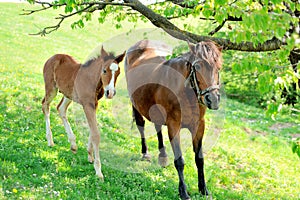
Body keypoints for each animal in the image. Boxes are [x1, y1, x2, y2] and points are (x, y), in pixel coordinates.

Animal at [41, 46, 125, 178]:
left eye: (118, 72)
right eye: (104, 71)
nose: (110, 93)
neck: (93, 81)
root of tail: (52, 57)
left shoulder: (95, 105)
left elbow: (92, 130)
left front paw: (90, 155)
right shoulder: (87, 105)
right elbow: (96, 134)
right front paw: (98, 171)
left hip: (68, 94)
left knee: (60, 108)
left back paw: (73, 144)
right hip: (51, 88)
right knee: (45, 105)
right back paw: (50, 140)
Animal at [123, 39, 221, 199]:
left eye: (219, 68)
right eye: (198, 66)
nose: (212, 99)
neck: (186, 92)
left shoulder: (199, 125)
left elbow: (199, 159)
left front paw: (203, 190)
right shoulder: (174, 126)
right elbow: (179, 161)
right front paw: (183, 192)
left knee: (157, 127)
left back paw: (162, 156)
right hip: (136, 105)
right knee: (141, 125)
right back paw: (145, 154)